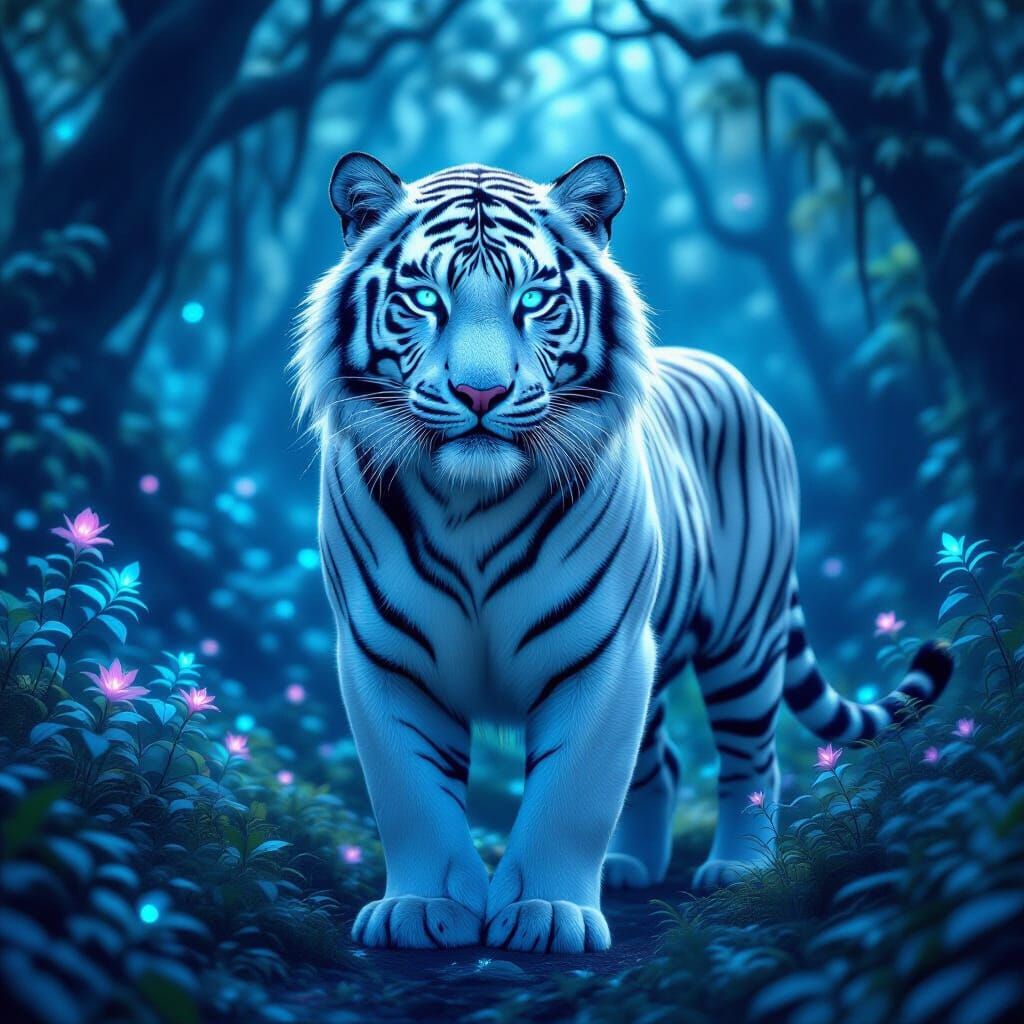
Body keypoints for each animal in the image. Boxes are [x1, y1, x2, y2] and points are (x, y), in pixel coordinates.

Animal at [293, 152, 953, 954]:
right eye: (423, 297)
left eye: (534, 299)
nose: (481, 393)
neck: (470, 505)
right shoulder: (385, 656)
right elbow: (410, 791)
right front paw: (424, 907)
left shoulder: (604, 652)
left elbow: (573, 791)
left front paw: (548, 912)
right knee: (662, 762)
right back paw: (631, 867)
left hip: (744, 638)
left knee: (752, 758)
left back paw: (740, 868)